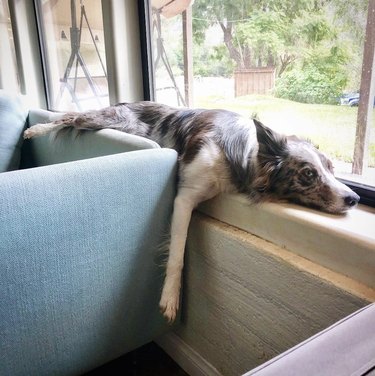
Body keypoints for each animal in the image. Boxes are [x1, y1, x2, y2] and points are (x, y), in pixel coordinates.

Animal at [23, 101, 362, 322]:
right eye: (308, 174)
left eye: (331, 168)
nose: (354, 198)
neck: (242, 154)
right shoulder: (184, 198)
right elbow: (177, 254)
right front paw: (171, 298)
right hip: (109, 121)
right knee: (71, 116)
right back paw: (34, 129)